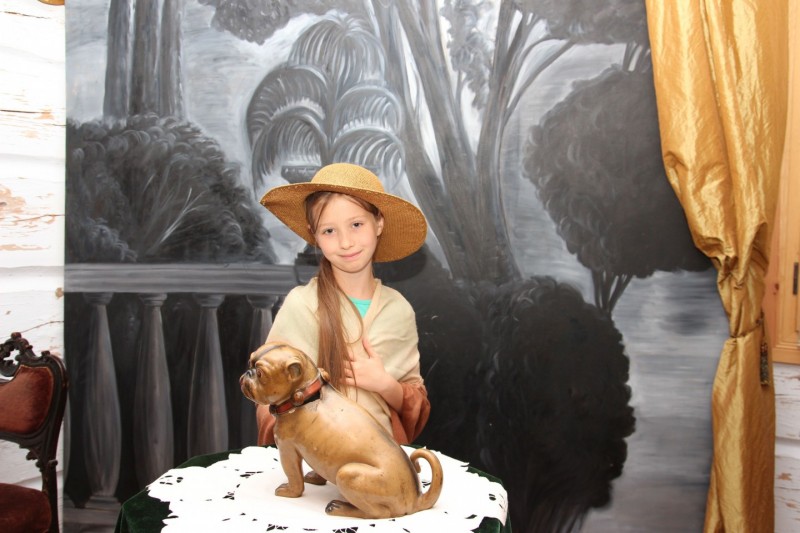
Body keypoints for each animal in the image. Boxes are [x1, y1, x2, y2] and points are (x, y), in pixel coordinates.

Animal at [240, 342, 443, 519]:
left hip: (348, 475)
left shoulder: (287, 450)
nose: (248, 372)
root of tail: (416, 500)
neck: (305, 396)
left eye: (260, 373)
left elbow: (294, 478)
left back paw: (341, 508)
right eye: (250, 363)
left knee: (378, 513)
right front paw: (314, 478)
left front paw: (289, 491)